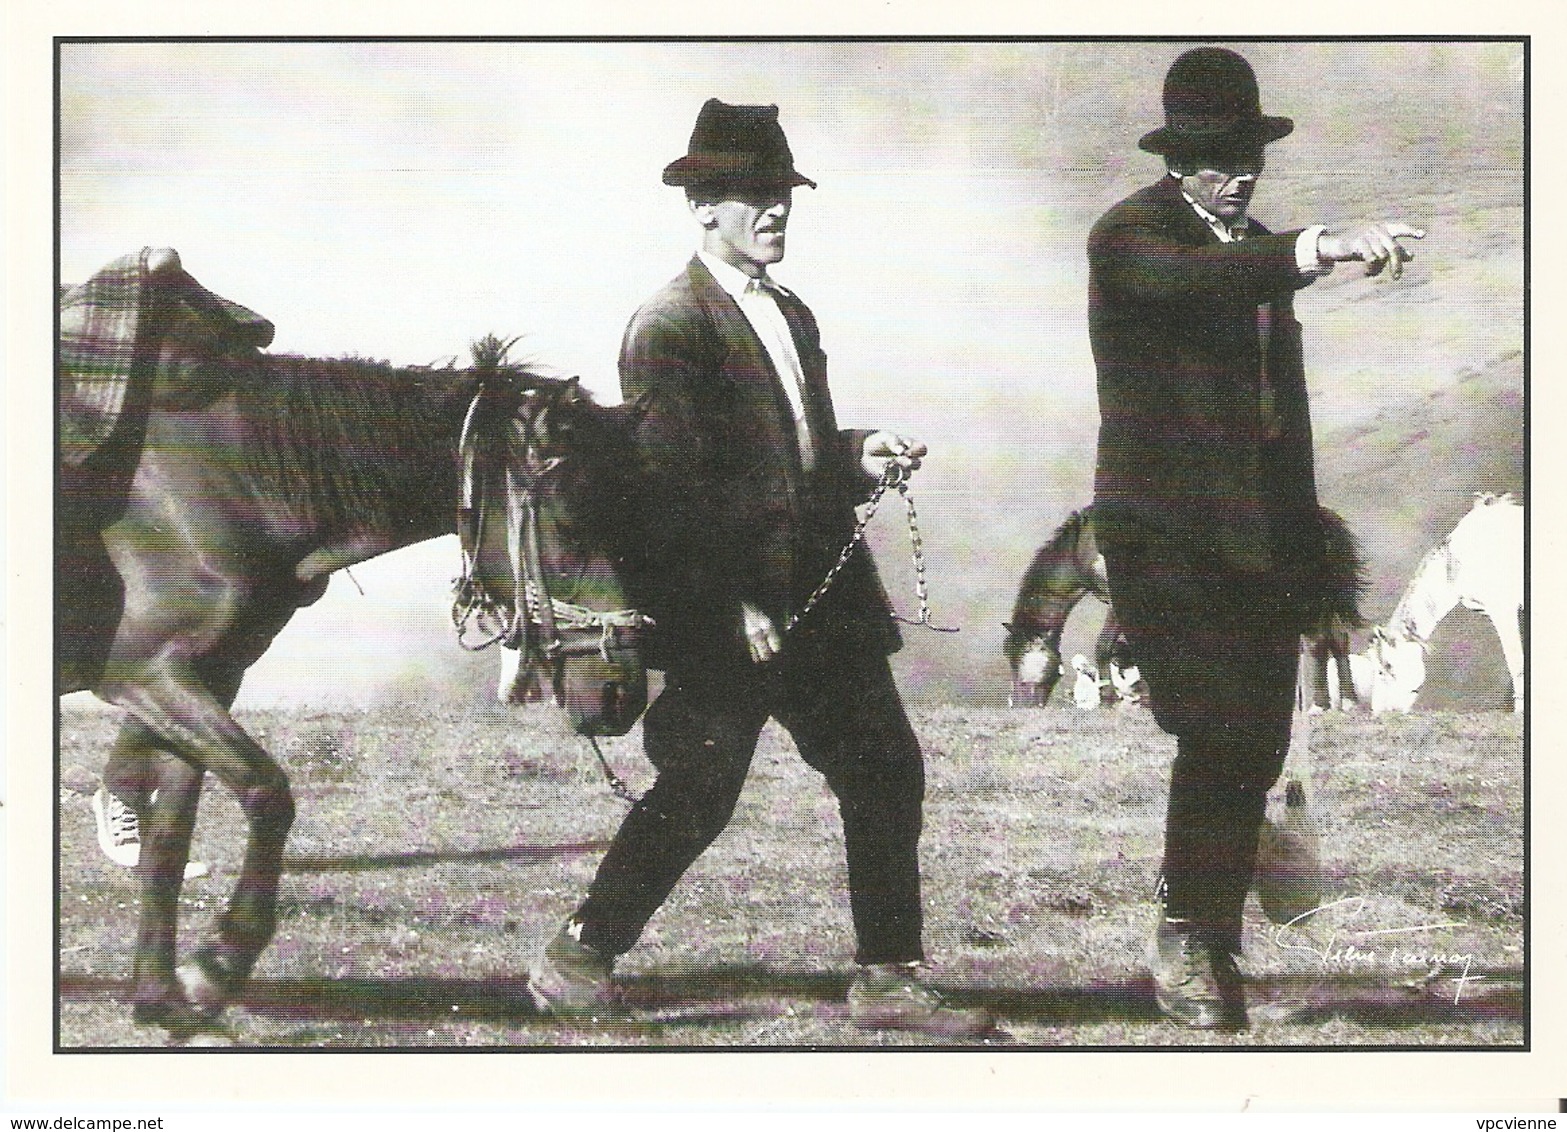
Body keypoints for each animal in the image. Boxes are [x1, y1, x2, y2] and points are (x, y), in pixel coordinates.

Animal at [55, 249, 642, 1041]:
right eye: (573, 517)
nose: (623, 690)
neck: (229, 470)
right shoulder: (148, 676)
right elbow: (268, 793)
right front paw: (218, 965)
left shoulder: (204, 677)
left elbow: (170, 840)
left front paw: (163, 998)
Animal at [1009, 501, 1366, 705]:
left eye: (1017, 660)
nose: (1023, 705)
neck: (1086, 545)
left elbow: (1105, 646)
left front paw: (1115, 697)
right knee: (1336, 639)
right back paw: (1346, 701)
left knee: (1319, 641)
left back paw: (1321, 703)